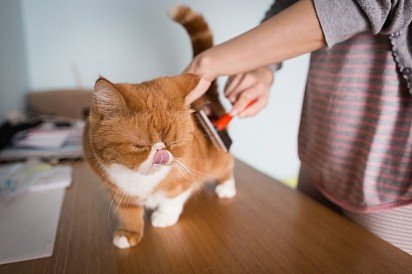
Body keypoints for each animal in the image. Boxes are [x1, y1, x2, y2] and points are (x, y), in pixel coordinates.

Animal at [83, 4, 235, 248]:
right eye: (139, 146)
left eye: (175, 143)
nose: (162, 153)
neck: (140, 180)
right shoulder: (116, 191)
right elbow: (128, 212)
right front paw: (129, 233)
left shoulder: (185, 177)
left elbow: (172, 198)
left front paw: (163, 217)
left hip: (217, 158)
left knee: (226, 166)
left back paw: (226, 188)